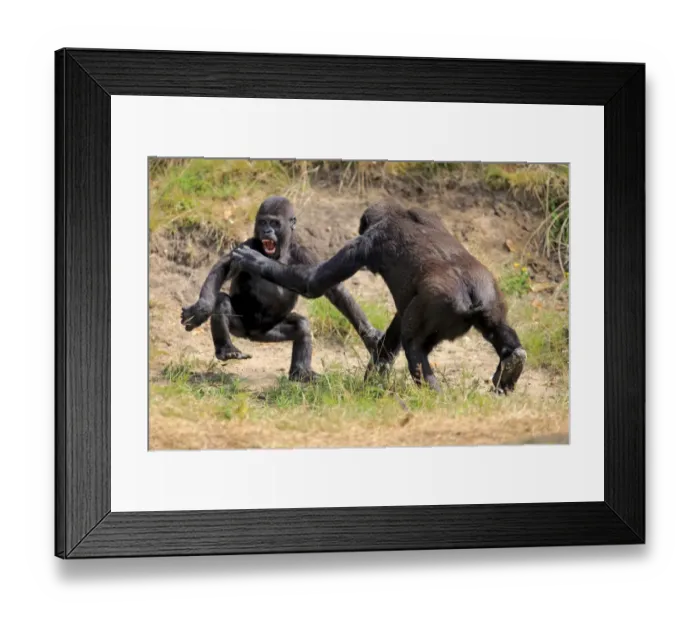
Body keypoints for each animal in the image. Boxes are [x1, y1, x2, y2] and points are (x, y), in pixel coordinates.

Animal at [180, 196, 383, 382]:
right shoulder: (249, 244)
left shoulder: (306, 255)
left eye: (275, 223)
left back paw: (301, 373)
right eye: (263, 222)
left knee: (301, 326)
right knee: (222, 301)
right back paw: (226, 348)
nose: (267, 230)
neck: (279, 253)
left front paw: (369, 335)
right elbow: (223, 268)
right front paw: (202, 308)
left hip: (269, 332)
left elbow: (332, 289)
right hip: (240, 327)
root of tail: (251, 335)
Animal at [230, 197, 527, 393]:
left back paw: (434, 395)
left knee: (414, 346)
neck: (399, 213)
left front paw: (256, 261)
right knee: (497, 327)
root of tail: (470, 295)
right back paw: (512, 362)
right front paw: (374, 345)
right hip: (489, 292)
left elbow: (315, 283)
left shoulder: (364, 245)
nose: (267, 231)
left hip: (444, 303)